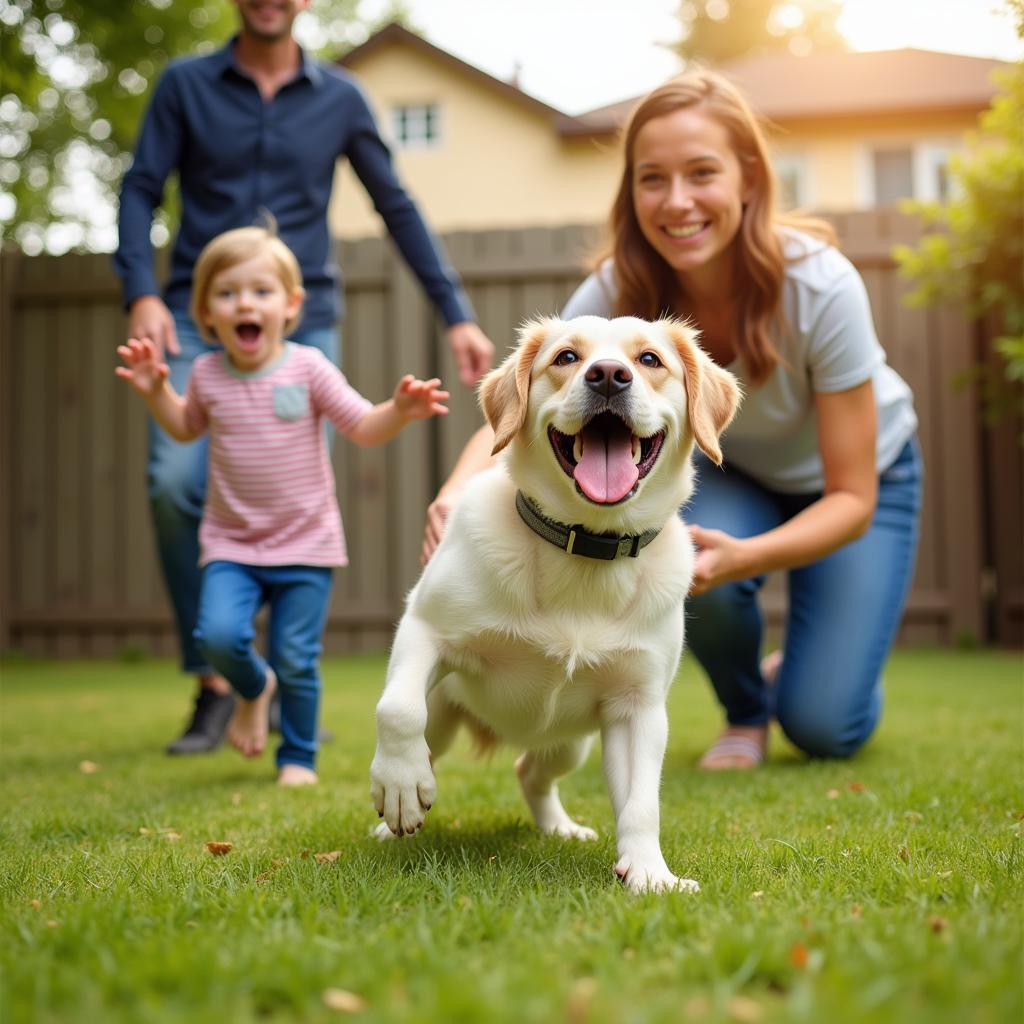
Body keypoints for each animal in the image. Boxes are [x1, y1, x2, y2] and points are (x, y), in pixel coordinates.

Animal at [372, 315, 741, 892]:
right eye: (566, 357)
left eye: (649, 360)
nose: (609, 375)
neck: (584, 550)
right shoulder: (424, 627)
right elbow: (396, 709)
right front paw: (401, 790)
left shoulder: (638, 706)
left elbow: (642, 803)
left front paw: (649, 872)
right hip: (445, 717)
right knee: (425, 736)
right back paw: (393, 817)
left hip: (570, 743)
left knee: (530, 770)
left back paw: (559, 828)